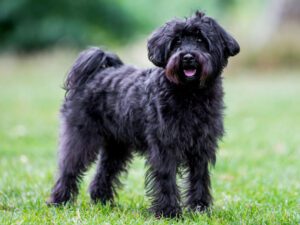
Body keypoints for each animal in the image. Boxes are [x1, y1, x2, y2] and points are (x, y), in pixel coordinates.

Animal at [47, 11, 239, 218]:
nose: (187, 57)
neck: (189, 93)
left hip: (117, 145)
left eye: (200, 39)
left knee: (105, 171)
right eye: (177, 41)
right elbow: (166, 178)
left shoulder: (201, 148)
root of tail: (92, 75)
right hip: (81, 137)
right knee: (69, 169)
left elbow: (199, 178)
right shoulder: (164, 146)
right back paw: (59, 201)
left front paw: (199, 209)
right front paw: (169, 212)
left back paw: (102, 201)